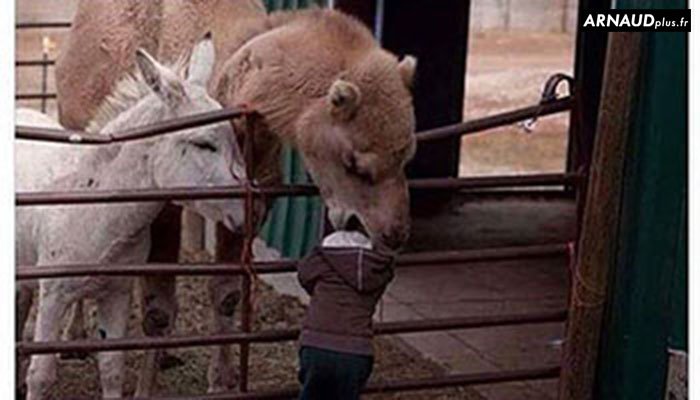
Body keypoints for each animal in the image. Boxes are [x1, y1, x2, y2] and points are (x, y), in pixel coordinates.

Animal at [55, 1, 417, 395]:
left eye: (408, 155)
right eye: (354, 163)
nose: (395, 233)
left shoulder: (250, 201)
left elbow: (227, 293)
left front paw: (222, 380)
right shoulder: (163, 203)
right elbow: (158, 308)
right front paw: (144, 391)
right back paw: (74, 340)